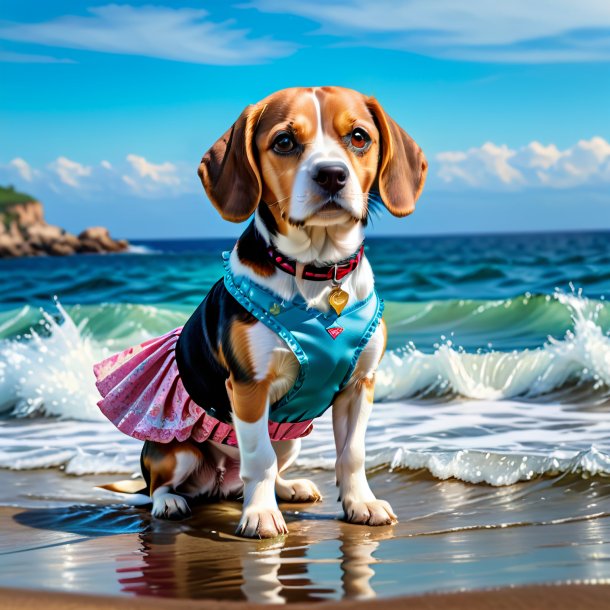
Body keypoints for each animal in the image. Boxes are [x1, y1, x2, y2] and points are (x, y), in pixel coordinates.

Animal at [96, 85, 428, 536]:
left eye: (359, 137)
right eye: (284, 142)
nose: (331, 175)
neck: (319, 271)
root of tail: (217, 485)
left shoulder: (359, 385)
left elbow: (352, 455)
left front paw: (361, 503)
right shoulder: (250, 387)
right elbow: (258, 457)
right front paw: (260, 515)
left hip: (292, 438)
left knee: (264, 469)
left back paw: (289, 488)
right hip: (176, 453)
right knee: (159, 486)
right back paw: (172, 502)